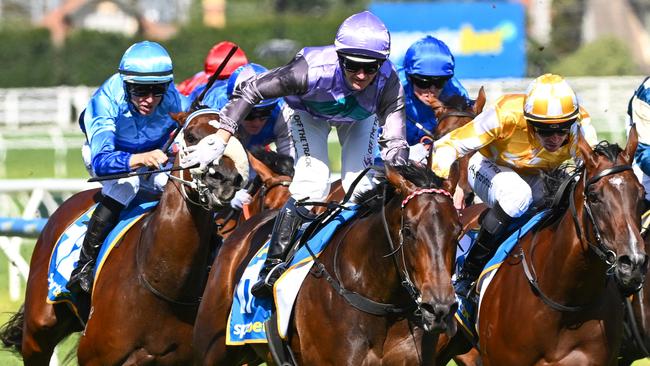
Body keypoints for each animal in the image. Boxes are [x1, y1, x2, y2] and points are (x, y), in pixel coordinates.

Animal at [0, 110, 246, 364]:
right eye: (191, 135)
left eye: (234, 137)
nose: (226, 179)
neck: (163, 281)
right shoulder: (95, 356)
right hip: (38, 330)